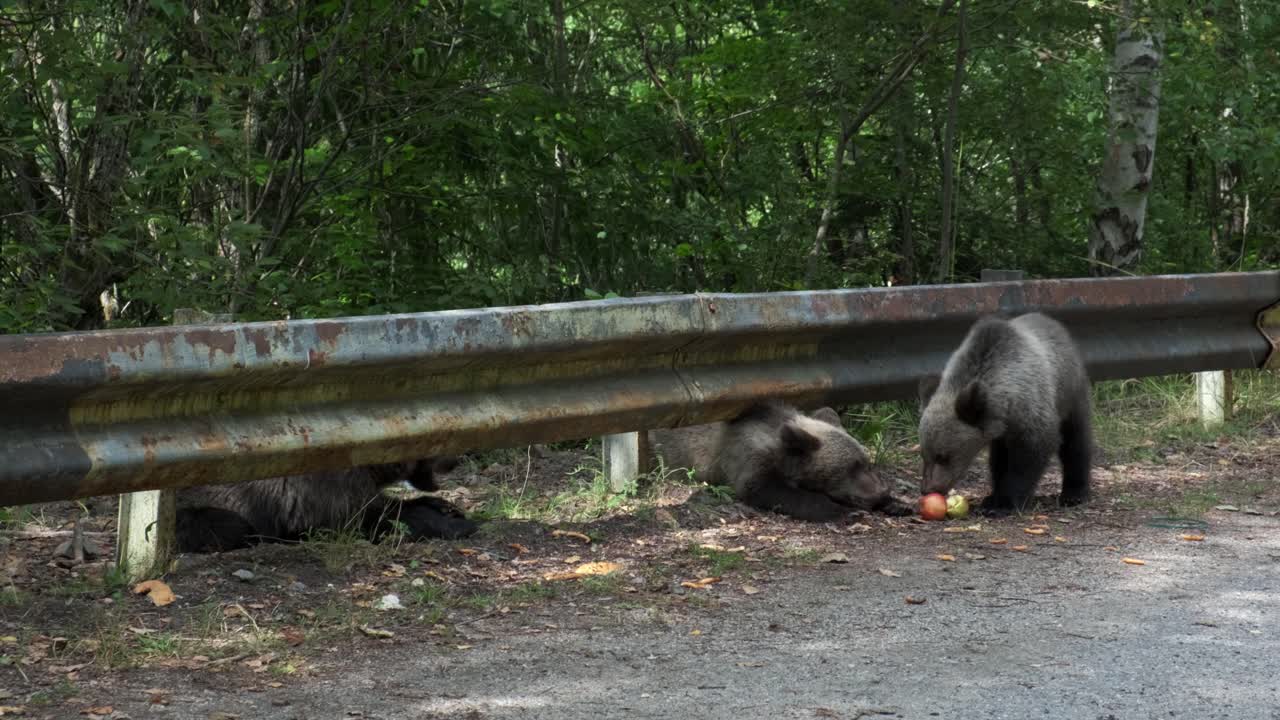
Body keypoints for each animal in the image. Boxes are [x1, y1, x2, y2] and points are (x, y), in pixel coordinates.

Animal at [176, 457, 477, 553]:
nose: (458, 459)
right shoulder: (325, 490)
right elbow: (363, 519)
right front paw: (454, 525)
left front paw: (446, 507)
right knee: (229, 525)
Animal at [648, 401, 910, 521]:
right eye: (851, 467)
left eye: (867, 462)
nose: (882, 493)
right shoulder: (746, 456)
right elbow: (768, 490)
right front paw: (842, 511)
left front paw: (898, 504)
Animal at [917, 312, 1092, 515]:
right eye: (923, 454)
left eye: (943, 456)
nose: (927, 489)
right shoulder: (1000, 430)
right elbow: (999, 462)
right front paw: (992, 499)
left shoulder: (1032, 412)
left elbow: (1030, 457)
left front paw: (1005, 503)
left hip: (1070, 394)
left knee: (1076, 441)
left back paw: (1074, 493)